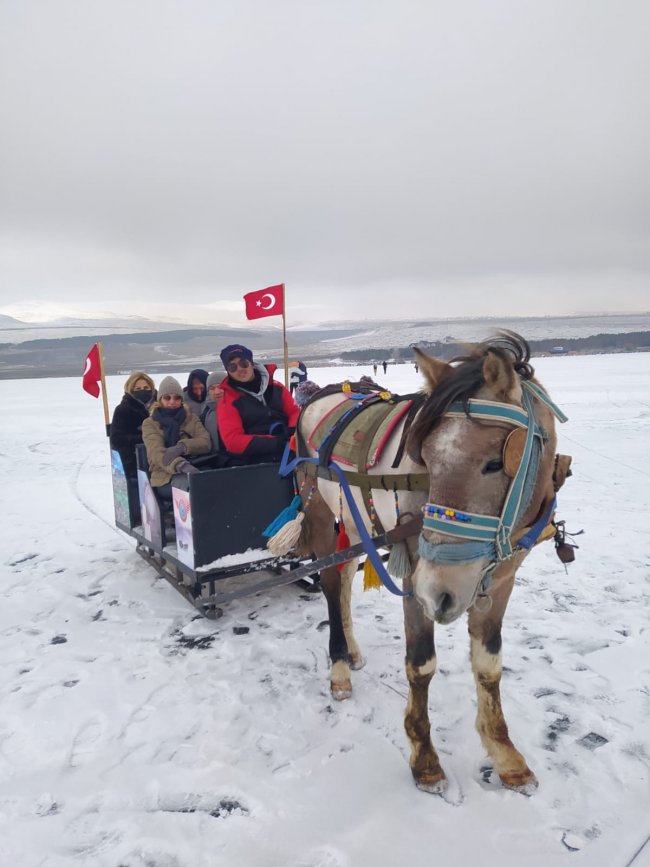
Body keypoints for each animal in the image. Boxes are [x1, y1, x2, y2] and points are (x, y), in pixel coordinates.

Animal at [270, 332, 564, 792]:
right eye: (424, 454)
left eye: (494, 462)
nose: (440, 592)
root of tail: (322, 393)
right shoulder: (414, 575)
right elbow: (421, 665)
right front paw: (425, 757)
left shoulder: (501, 581)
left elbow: (489, 665)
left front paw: (504, 754)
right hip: (318, 513)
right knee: (331, 584)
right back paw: (339, 668)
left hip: (355, 522)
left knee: (345, 577)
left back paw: (352, 650)